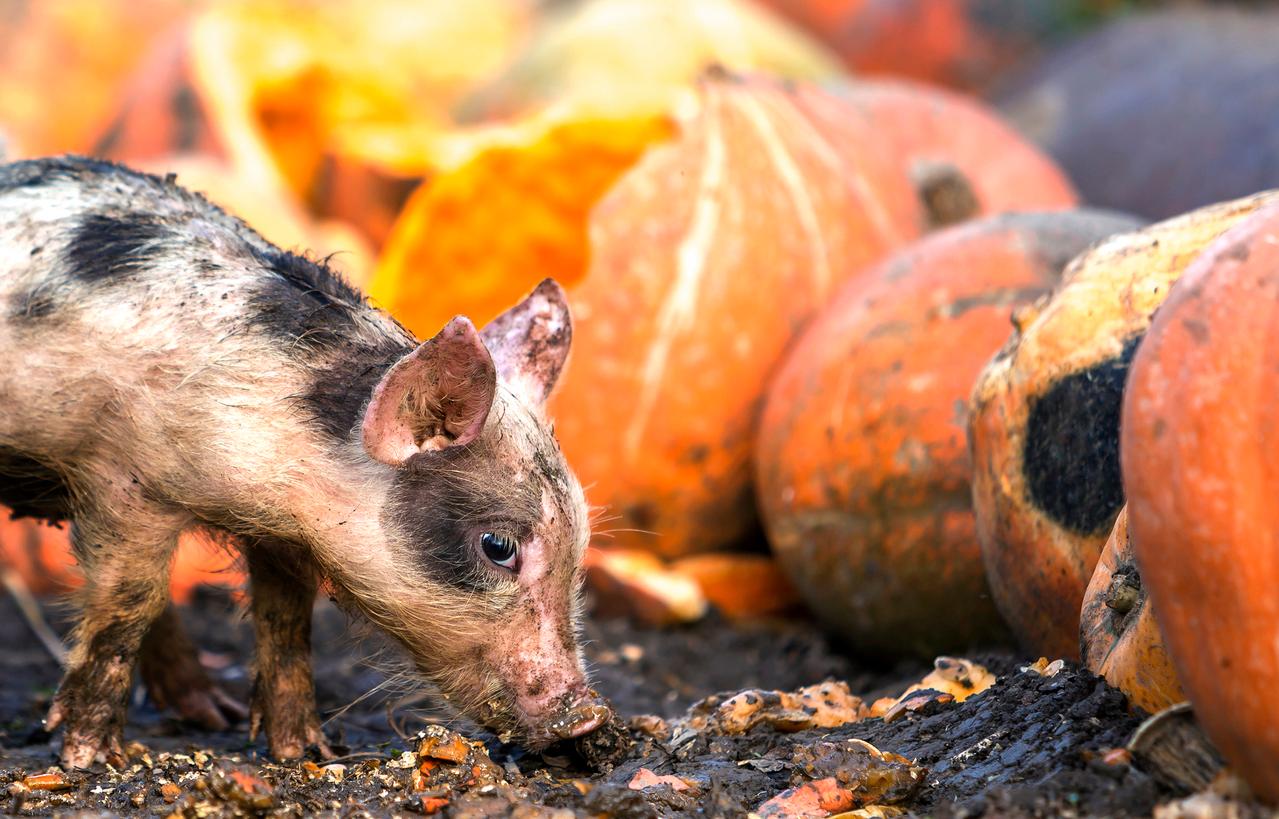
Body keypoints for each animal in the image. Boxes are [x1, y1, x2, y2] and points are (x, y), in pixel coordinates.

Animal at [0, 156, 609, 768]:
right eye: (498, 546)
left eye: (579, 543)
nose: (589, 716)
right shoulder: (122, 480)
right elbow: (126, 609)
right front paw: (88, 759)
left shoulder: (280, 536)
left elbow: (287, 626)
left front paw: (305, 753)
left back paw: (215, 714)